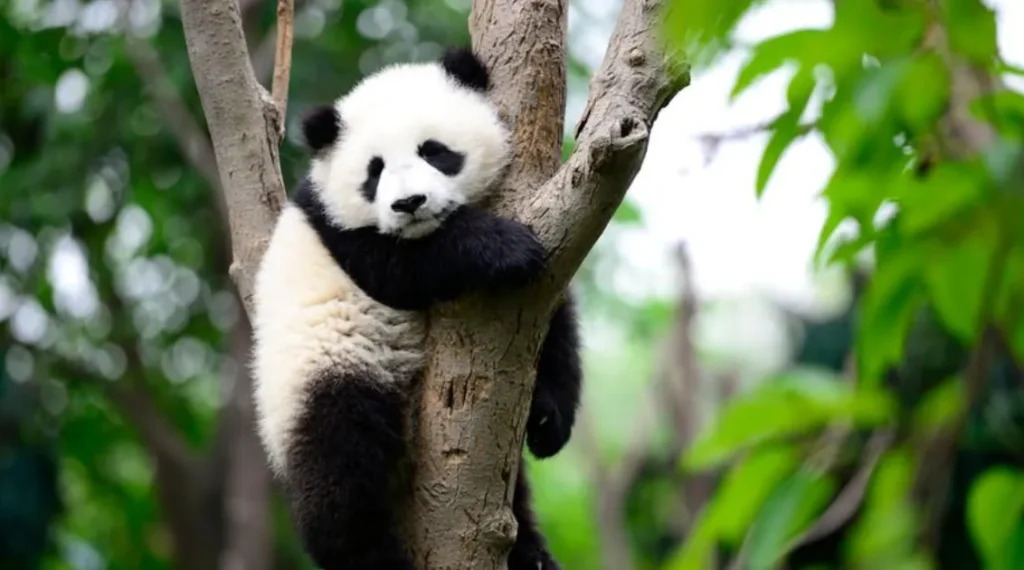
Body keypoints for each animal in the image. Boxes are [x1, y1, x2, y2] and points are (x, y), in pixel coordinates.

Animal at [251, 47, 582, 570]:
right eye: (374, 171)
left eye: (433, 150)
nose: (409, 203)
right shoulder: (342, 235)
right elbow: (406, 268)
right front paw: (504, 247)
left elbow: (554, 323)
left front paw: (548, 421)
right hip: (323, 372)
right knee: (340, 463)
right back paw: (370, 554)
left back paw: (531, 556)